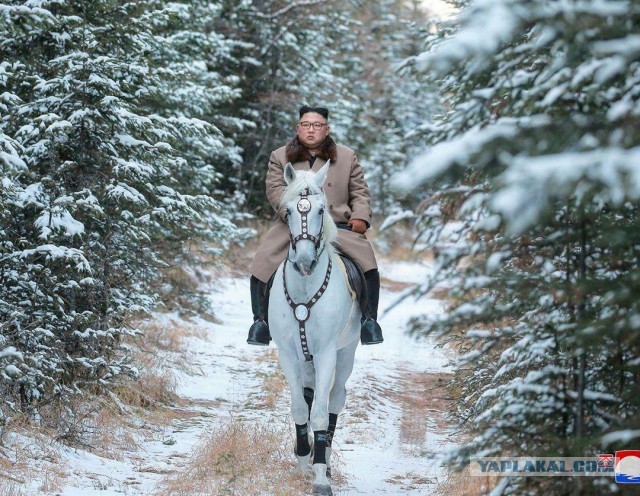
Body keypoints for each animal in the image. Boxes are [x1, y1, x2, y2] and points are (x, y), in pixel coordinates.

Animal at [268, 161, 362, 494]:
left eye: (322, 210)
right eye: (288, 212)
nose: (305, 261)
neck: (306, 287)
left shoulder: (326, 354)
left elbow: (321, 413)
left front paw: (320, 475)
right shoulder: (287, 354)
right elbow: (300, 407)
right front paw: (302, 461)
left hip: (345, 354)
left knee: (334, 399)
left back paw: (327, 459)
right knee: (309, 396)